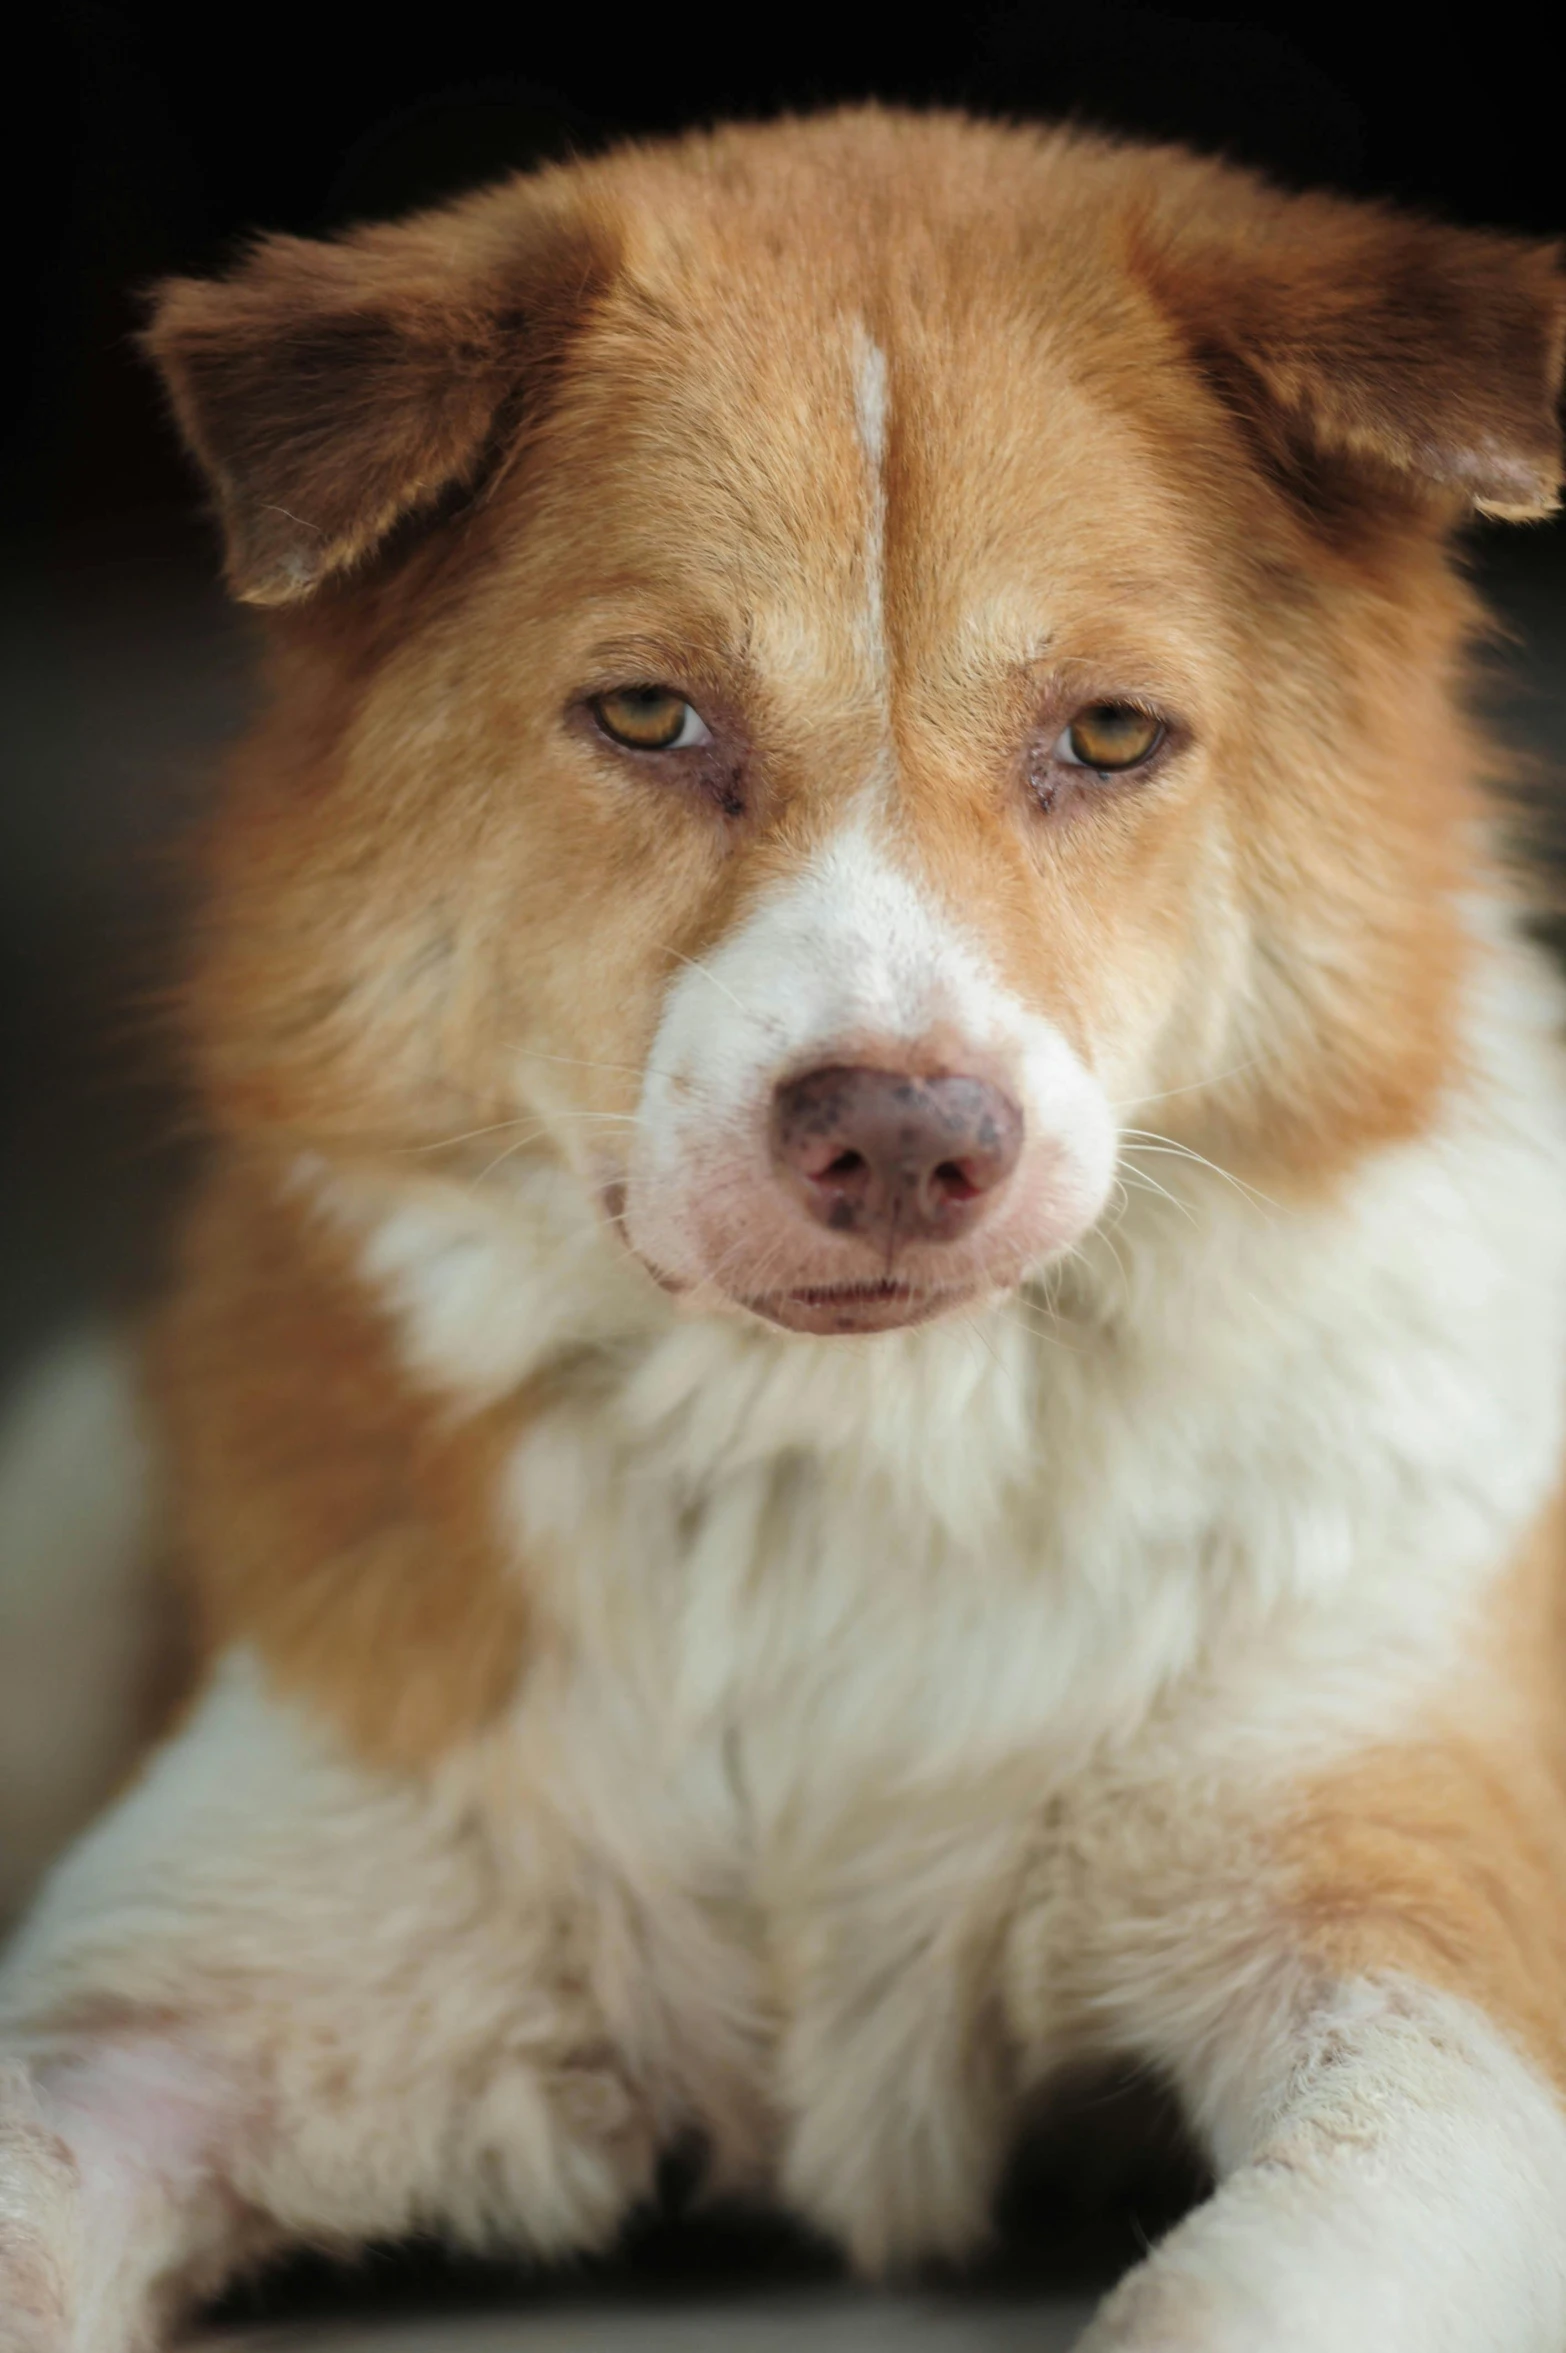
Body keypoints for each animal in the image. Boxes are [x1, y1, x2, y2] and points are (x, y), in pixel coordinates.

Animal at [3, 105, 1561, 2353]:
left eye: (1109, 734)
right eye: (652, 716)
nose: (904, 1143)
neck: (849, 1466)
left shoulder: (1429, 1961)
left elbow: (1228, 2292)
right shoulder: (188, 1999)